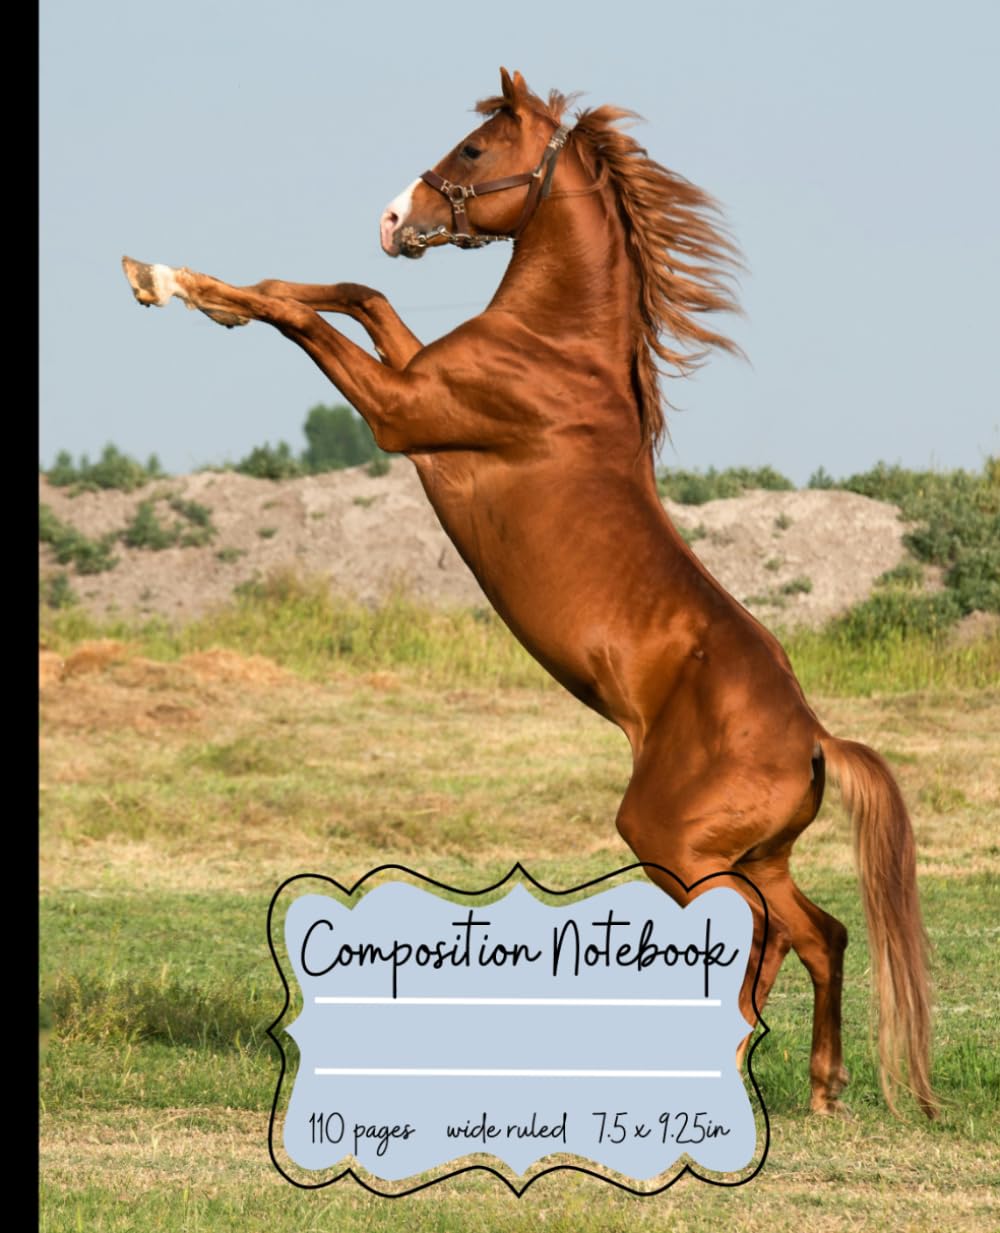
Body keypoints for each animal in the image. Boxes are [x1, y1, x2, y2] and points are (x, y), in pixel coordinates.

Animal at [122, 67, 934, 1119]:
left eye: (473, 151)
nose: (395, 217)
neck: (555, 353)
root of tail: (816, 740)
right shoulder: (411, 374)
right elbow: (352, 293)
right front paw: (190, 285)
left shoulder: (401, 412)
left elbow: (314, 318)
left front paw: (170, 283)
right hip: (754, 854)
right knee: (818, 932)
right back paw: (823, 1087)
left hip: (675, 844)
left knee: (760, 937)